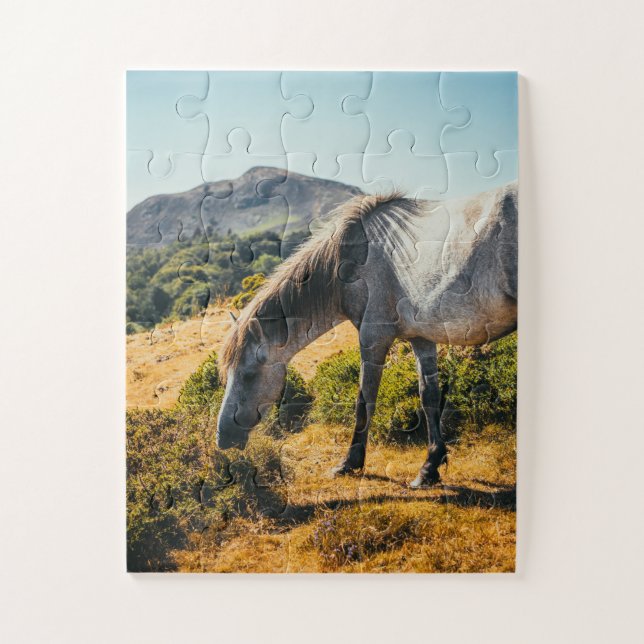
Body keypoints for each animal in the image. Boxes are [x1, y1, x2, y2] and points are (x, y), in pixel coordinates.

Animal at [216, 182, 517, 487]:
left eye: (249, 374)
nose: (223, 437)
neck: (353, 259)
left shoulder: (373, 337)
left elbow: (364, 398)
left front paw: (350, 462)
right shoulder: (421, 338)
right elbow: (428, 396)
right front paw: (429, 467)